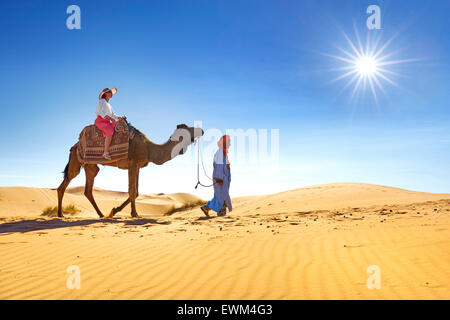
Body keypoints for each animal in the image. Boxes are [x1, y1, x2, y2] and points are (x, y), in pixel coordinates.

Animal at [56, 122, 204, 218]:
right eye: (189, 128)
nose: (202, 130)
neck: (149, 149)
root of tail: (73, 146)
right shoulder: (132, 163)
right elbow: (132, 191)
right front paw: (134, 214)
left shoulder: (137, 166)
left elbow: (136, 192)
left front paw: (114, 211)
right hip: (77, 161)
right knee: (66, 183)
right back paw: (61, 214)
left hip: (90, 166)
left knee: (87, 190)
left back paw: (101, 214)